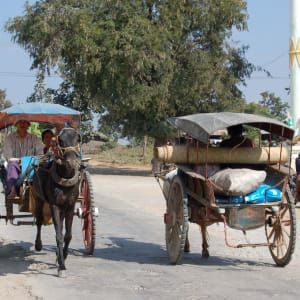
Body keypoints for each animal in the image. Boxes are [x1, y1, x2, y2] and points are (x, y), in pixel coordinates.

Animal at [32, 126, 81, 276]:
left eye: (77, 140)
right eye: (61, 141)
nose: (71, 163)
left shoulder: (70, 206)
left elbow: (67, 235)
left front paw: (62, 256)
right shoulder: (54, 205)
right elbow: (58, 235)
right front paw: (61, 266)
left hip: (63, 208)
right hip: (38, 199)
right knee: (39, 221)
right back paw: (38, 244)